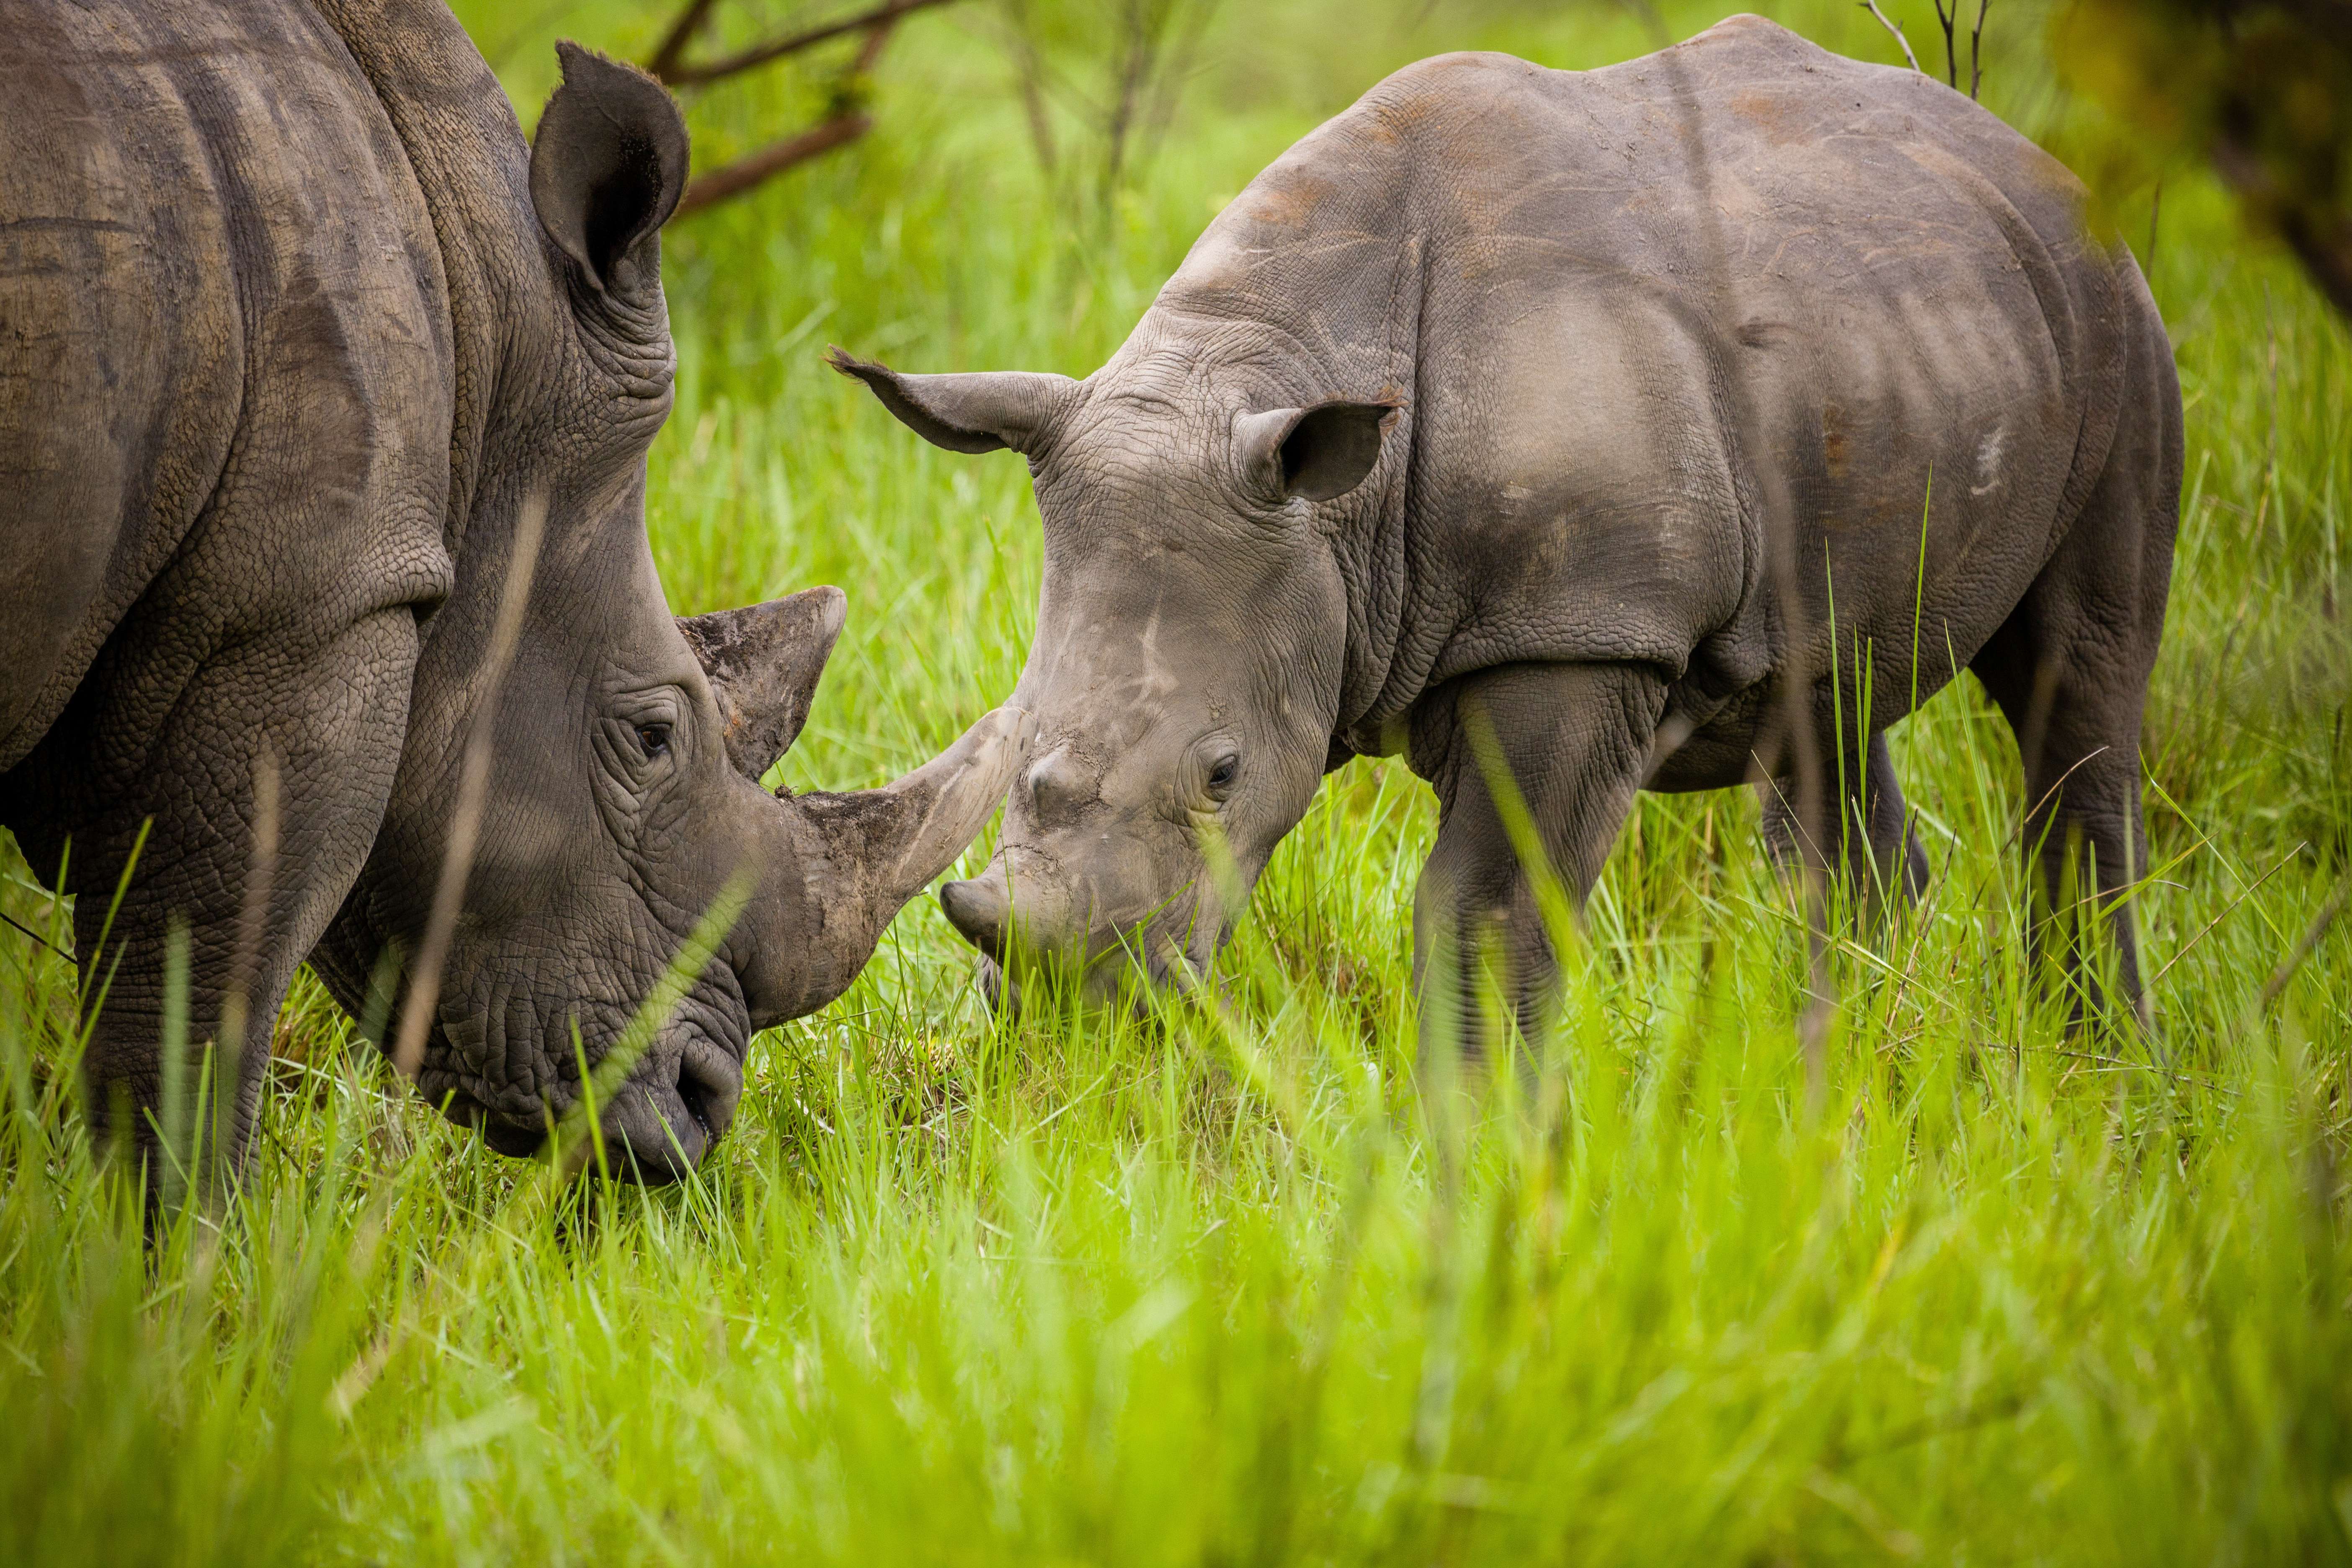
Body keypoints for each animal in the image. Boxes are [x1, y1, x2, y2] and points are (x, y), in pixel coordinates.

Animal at [0, 0, 1026, 1184]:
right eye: (653, 738)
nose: (701, 1105)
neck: (489, 341)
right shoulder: (305, 612)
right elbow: (191, 1025)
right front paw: (166, 1238)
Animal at [834, 15, 2179, 1042]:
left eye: (1222, 775)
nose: (1072, 1010)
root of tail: (2025, 154)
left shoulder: (1583, 629)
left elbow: (1482, 914)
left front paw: (1484, 1154)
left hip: (2118, 319)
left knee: (2080, 685)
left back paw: (2094, 1068)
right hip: (1902, 325)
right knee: (1827, 701)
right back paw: (1844, 1079)